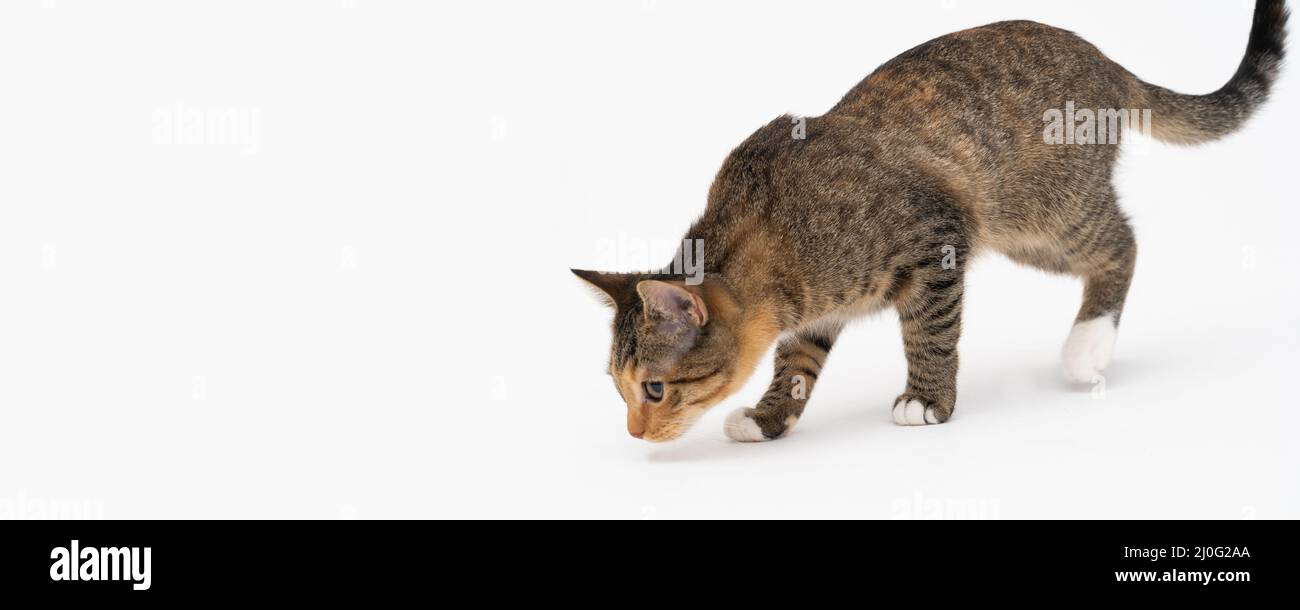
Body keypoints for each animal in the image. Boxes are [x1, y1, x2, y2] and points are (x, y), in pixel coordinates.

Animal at [574, 0, 1284, 437]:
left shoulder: (938, 239)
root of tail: (1107, 62)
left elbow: (930, 332)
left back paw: (1090, 344)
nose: (634, 432)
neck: (767, 227)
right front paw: (772, 416)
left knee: (1123, 242)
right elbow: (797, 360)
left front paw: (926, 399)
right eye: (618, 389)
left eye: (654, 390)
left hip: (1044, 213)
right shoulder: (817, 307)